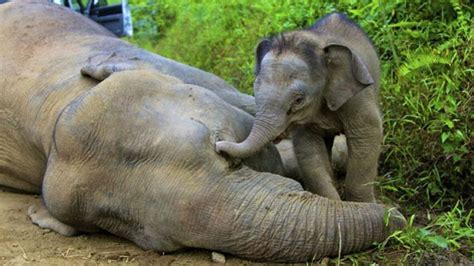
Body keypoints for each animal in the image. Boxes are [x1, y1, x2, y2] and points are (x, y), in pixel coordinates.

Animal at [218, 13, 382, 202]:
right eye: (254, 90)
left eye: (298, 100)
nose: (218, 145)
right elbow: (308, 149)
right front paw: (333, 202)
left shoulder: (358, 96)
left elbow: (367, 134)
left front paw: (363, 204)